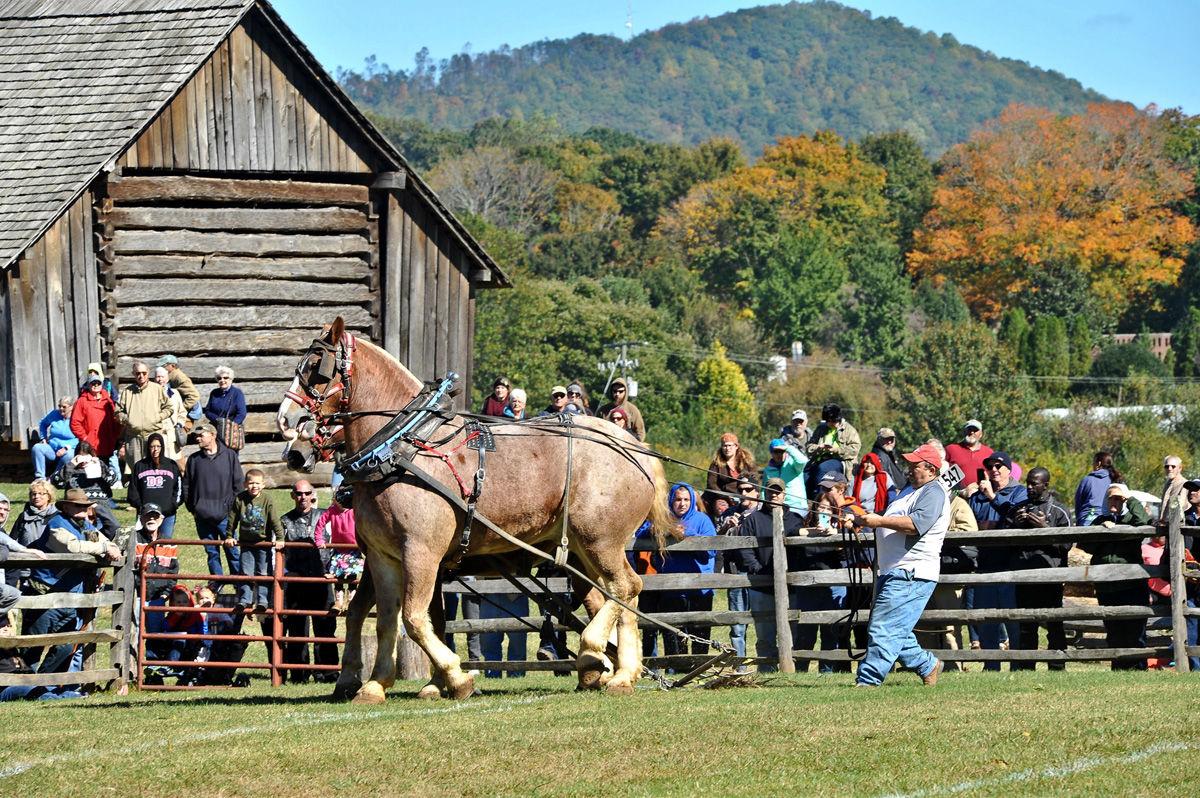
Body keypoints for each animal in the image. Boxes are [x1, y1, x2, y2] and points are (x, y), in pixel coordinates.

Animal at [276, 314, 672, 700]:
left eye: (317, 367)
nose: (286, 424)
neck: (401, 447)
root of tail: (636, 449)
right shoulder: (383, 556)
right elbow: (388, 617)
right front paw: (375, 684)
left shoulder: (422, 552)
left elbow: (415, 618)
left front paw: (455, 677)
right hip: (583, 549)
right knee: (616, 598)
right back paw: (616, 671)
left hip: (600, 539)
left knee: (625, 587)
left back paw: (602, 661)